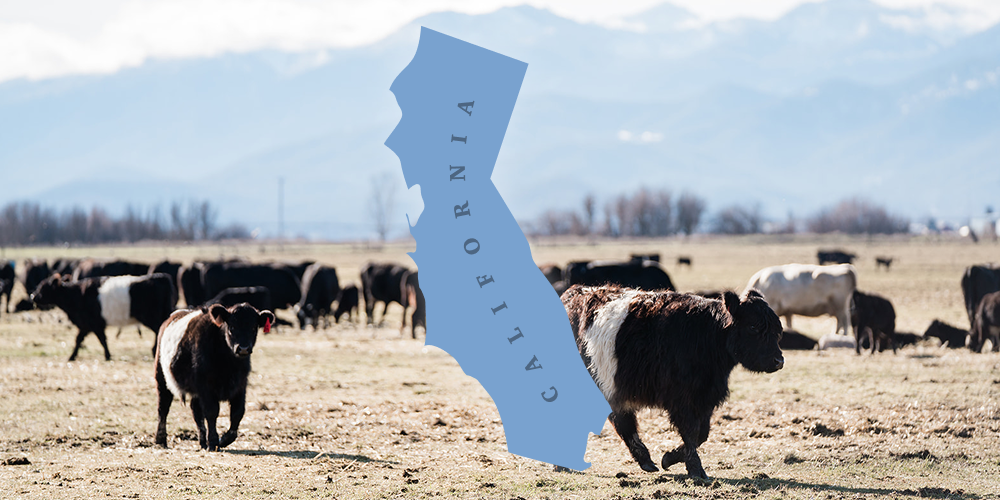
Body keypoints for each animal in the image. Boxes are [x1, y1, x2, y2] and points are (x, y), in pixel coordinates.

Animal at [30, 273, 177, 361]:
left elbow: (99, 340)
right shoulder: (88, 325)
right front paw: (73, 356)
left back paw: (154, 350)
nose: (33, 296)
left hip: (150, 318)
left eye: (44, 287)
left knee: (160, 330)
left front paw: (106, 355)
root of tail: (160, 276)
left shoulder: (92, 324)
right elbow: (81, 340)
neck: (76, 294)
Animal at [154, 303, 274, 451]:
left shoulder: (241, 385)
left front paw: (224, 439)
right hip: (161, 377)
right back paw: (161, 439)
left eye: (253, 328)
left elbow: (237, 412)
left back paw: (202, 441)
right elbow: (212, 412)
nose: (243, 348)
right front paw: (213, 442)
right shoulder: (206, 386)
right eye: (232, 327)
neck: (228, 363)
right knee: (163, 406)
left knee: (196, 411)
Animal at [562, 285, 783, 478]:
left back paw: (646, 461)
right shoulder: (681, 399)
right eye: (753, 326)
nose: (779, 360)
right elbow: (691, 432)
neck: (704, 336)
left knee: (620, 420)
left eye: (777, 329)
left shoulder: (705, 398)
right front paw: (695, 469)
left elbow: (701, 434)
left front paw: (669, 458)